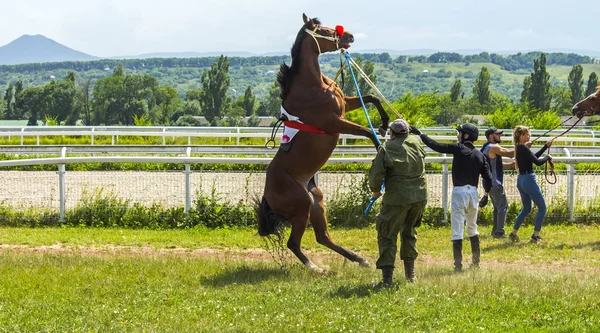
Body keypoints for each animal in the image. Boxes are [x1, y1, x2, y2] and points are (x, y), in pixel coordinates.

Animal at [256, 14, 390, 272]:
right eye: (326, 31)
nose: (350, 36)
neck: (313, 86)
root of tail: (268, 196)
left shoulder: (345, 105)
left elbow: (370, 97)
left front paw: (385, 122)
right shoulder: (334, 122)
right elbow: (366, 131)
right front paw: (381, 148)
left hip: (316, 203)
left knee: (323, 237)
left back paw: (359, 259)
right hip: (302, 208)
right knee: (294, 243)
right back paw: (316, 268)